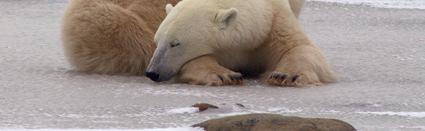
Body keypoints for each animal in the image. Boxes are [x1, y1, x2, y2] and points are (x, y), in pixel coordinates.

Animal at [146, 0, 334, 86]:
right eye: (157, 41)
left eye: (175, 43)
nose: (152, 72)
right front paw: (226, 75)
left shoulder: (274, 22)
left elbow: (299, 47)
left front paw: (284, 75)